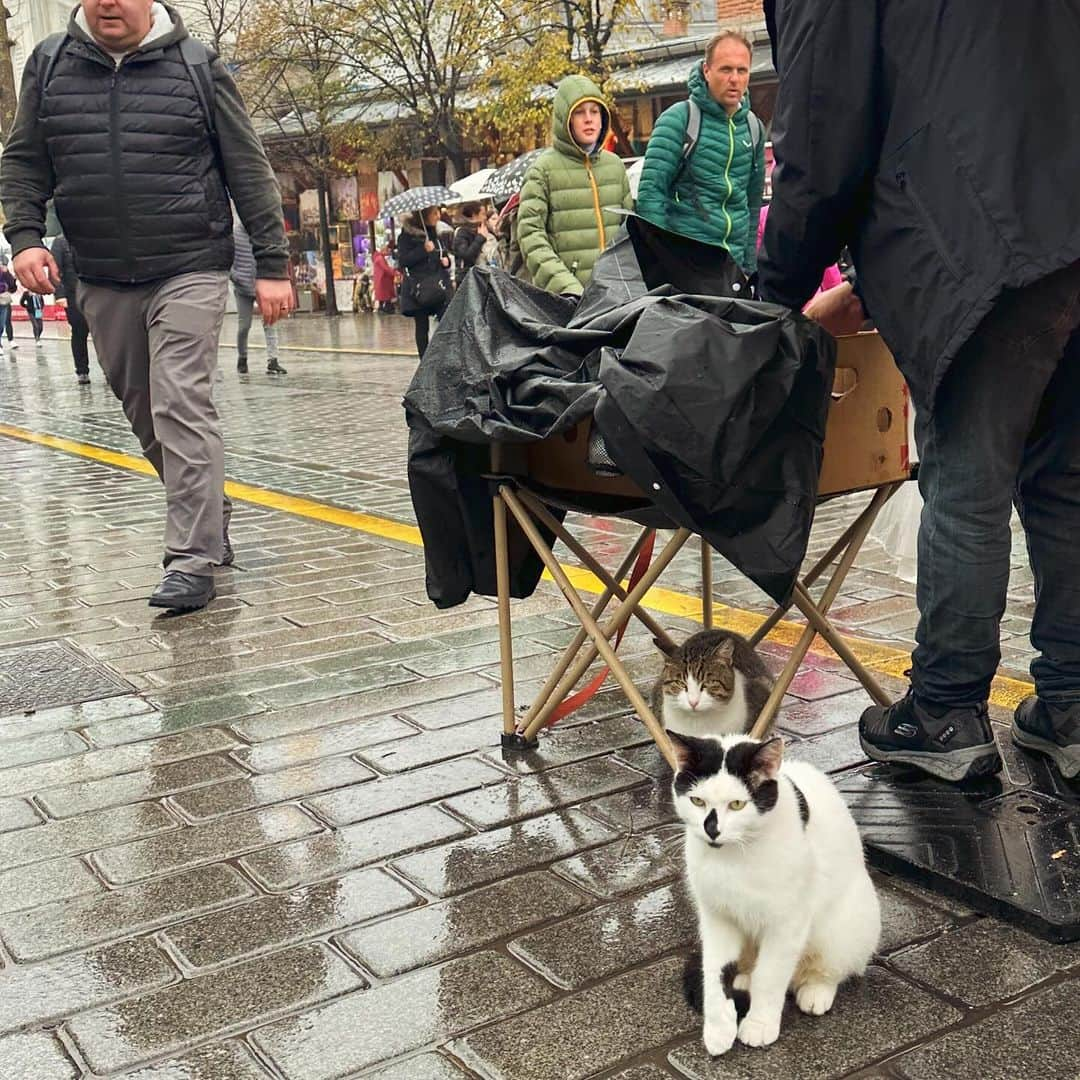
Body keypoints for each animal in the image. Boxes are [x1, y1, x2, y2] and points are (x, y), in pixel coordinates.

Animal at [669, 734, 881, 1054]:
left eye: (737, 804)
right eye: (697, 801)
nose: (712, 830)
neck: (733, 858)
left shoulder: (787, 923)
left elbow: (769, 978)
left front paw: (759, 1025)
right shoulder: (716, 918)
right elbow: (714, 972)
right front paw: (718, 1029)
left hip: (848, 925)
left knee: (833, 967)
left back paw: (815, 990)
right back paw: (744, 979)